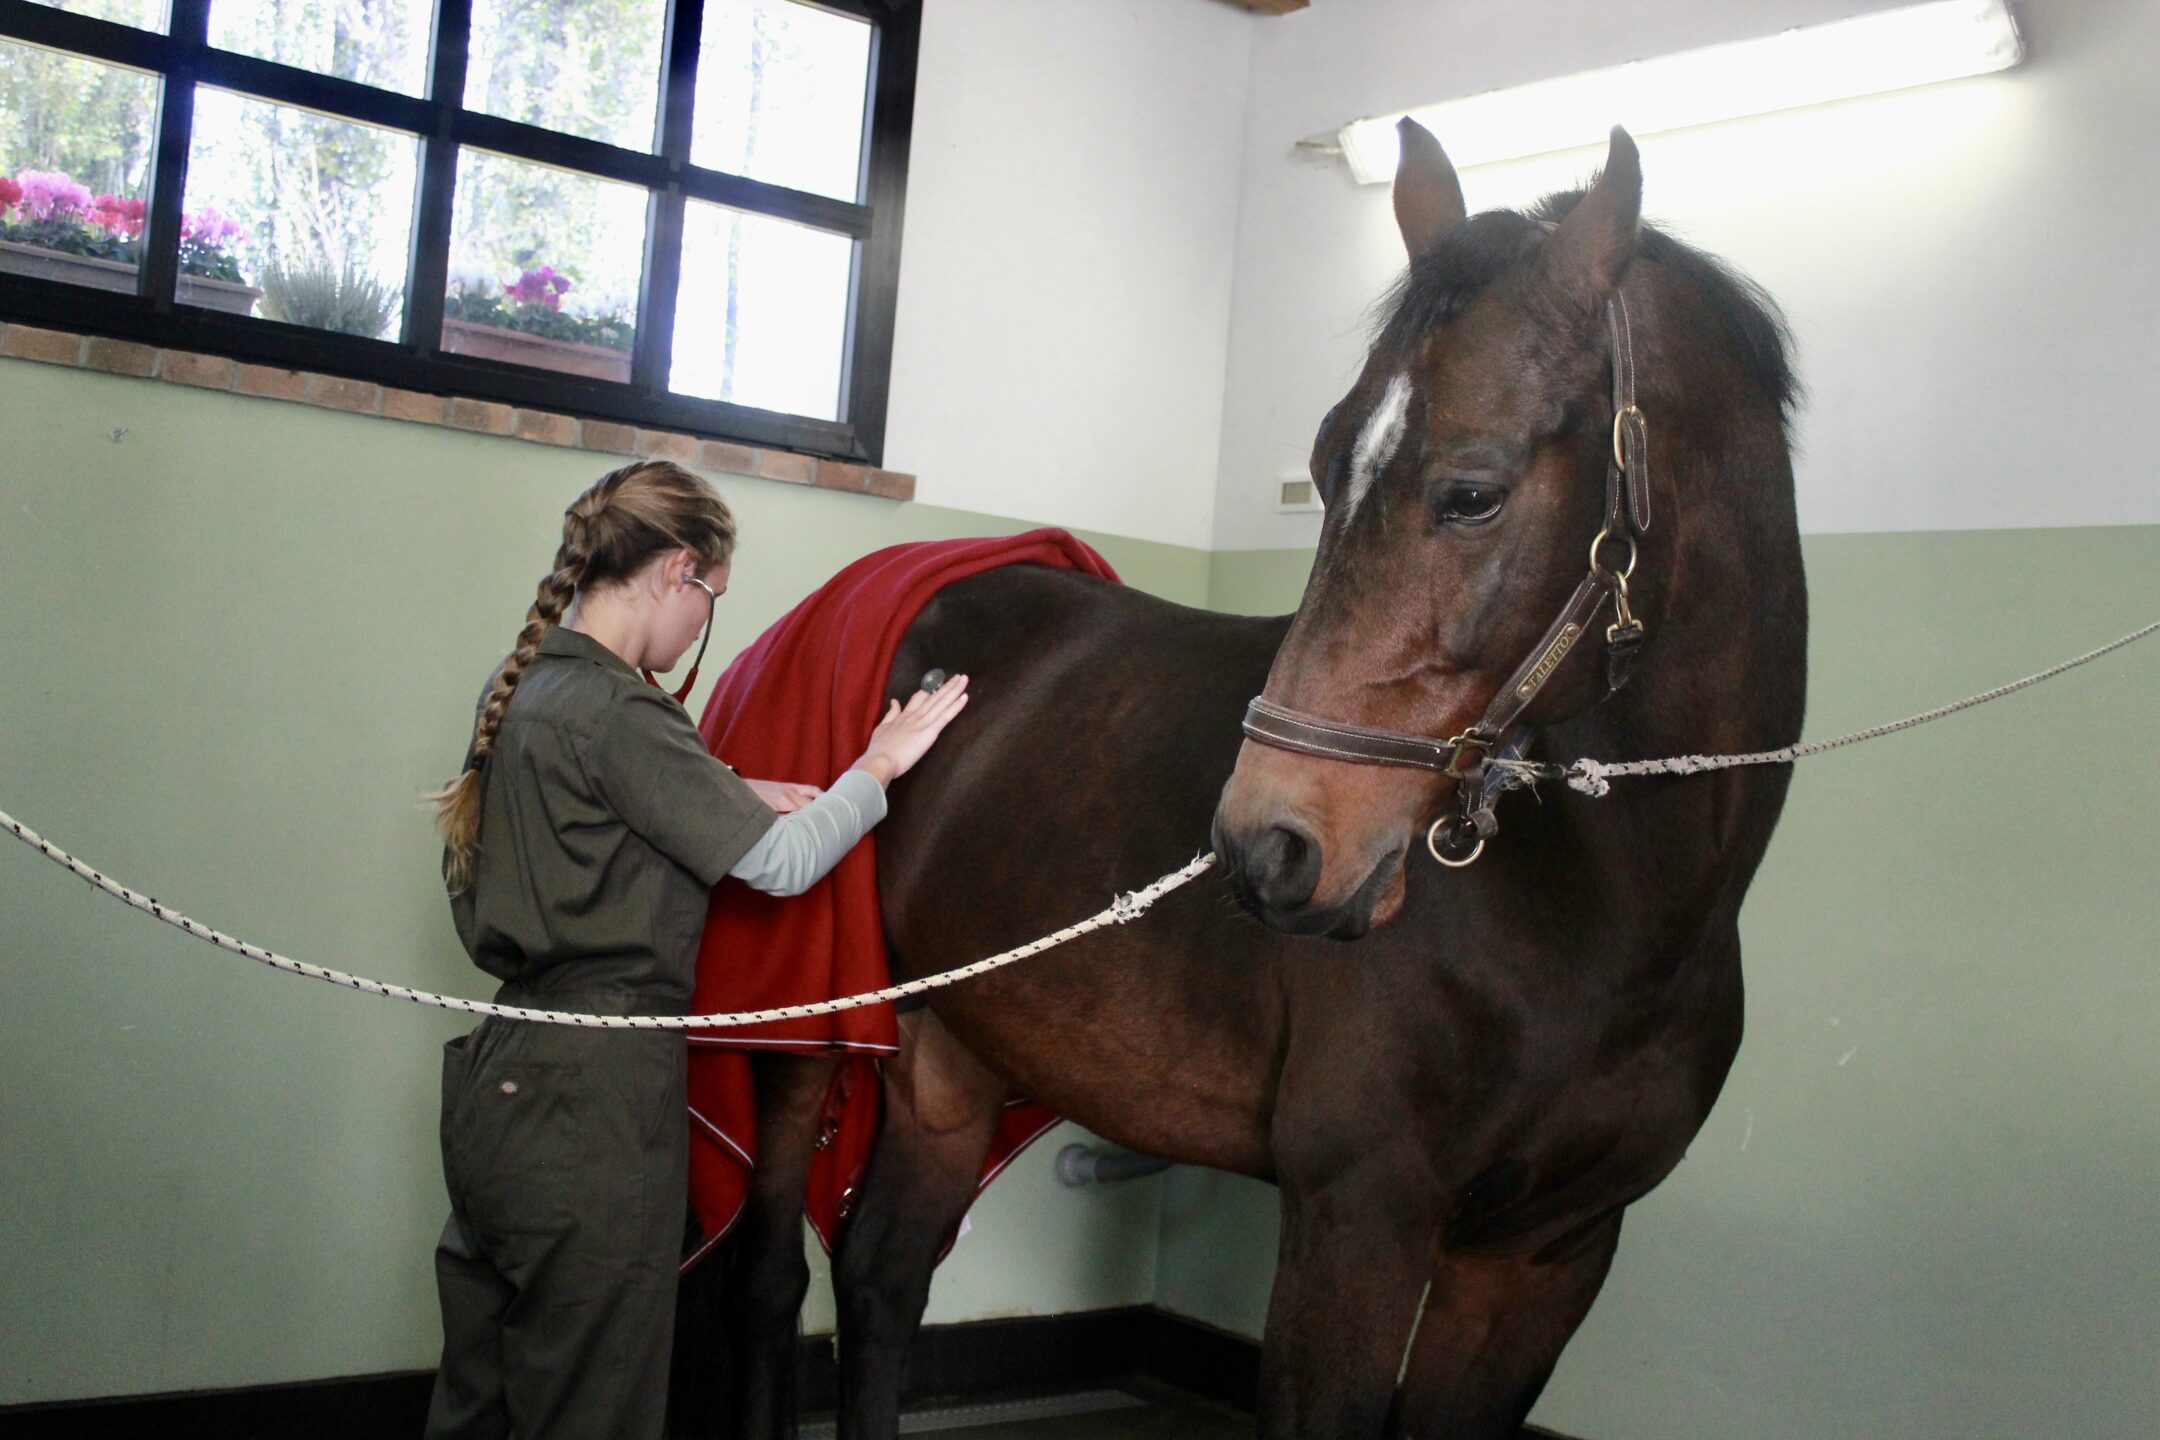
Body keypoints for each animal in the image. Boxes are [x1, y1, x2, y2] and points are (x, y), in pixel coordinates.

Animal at [700, 119, 1808, 1439]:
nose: (1269, 847)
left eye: (1473, 493)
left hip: (949, 1045)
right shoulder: (1359, 1219)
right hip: (802, 1043)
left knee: (882, 1280)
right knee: (769, 1285)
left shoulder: (1546, 1260)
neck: (1613, 920)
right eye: (1325, 469)